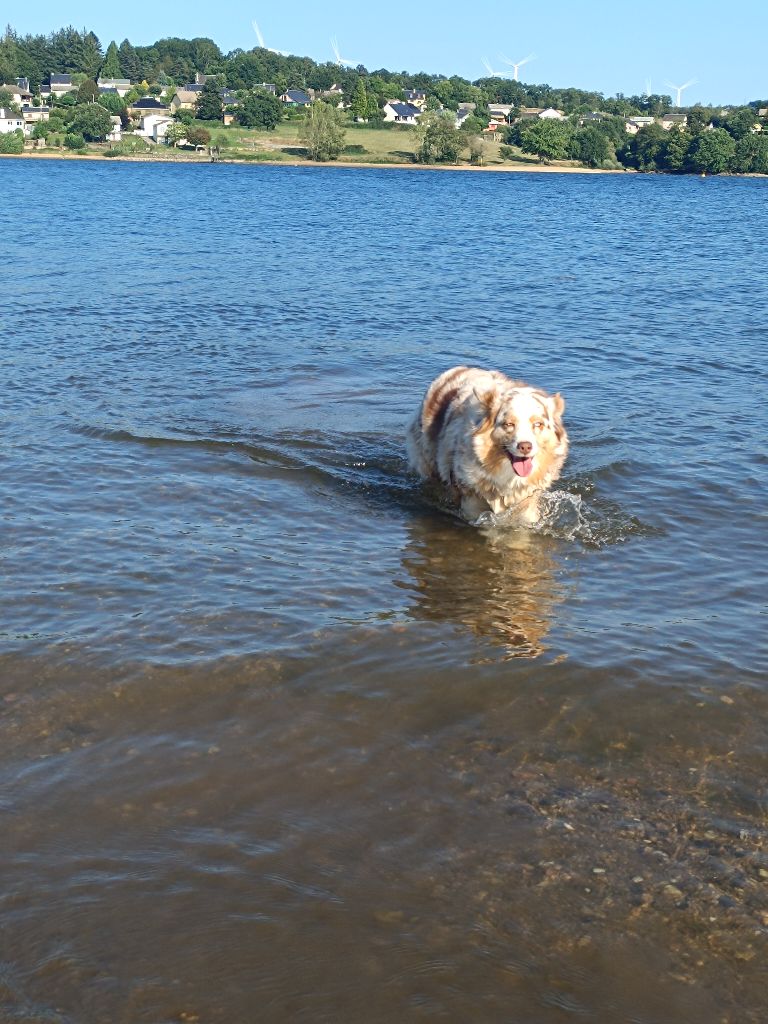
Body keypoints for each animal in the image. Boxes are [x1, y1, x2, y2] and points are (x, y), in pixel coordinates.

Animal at [409, 364, 565, 524]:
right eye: (509, 424)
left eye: (538, 424)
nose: (525, 446)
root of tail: (462, 367)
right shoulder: (472, 503)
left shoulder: (526, 504)